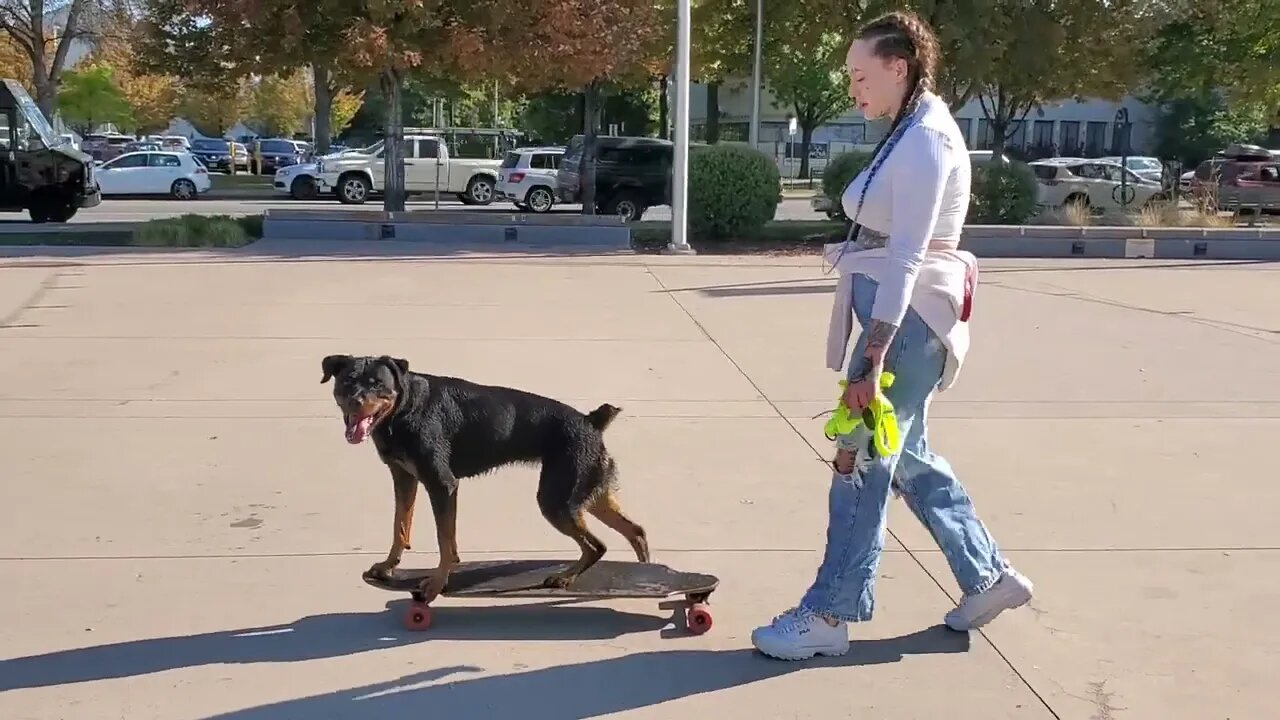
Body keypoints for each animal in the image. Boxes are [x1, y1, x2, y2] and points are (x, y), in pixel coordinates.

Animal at [320, 351, 650, 597]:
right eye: (347, 382)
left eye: (378, 384)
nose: (356, 401)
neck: (403, 408)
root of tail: (591, 421)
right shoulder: (403, 477)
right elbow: (400, 525)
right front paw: (389, 566)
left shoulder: (442, 484)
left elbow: (445, 541)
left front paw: (437, 584)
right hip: (586, 490)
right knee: (635, 531)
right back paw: (644, 573)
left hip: (557, 497)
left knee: (597, 545)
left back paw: (565, 578)